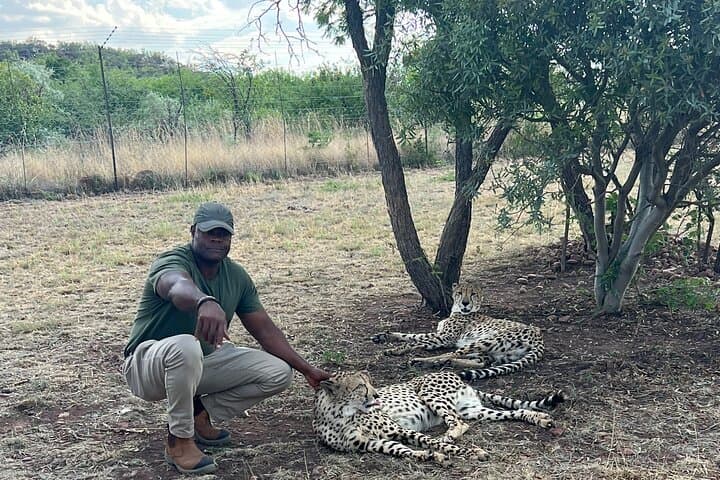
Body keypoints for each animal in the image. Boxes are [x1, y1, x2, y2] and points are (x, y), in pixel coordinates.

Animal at [313, 370, 565, 464]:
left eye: (369, 383)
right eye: (360, 386)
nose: (376, 395)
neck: (343, 415)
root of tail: (455, 374)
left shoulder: (398, 429)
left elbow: (429, 441)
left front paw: (469, 453)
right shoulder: (371, 443)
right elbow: (400, 450)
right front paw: (425, 455)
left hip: (429, 392)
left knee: (458, 424)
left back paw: (447, 437)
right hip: (473, 410)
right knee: (510, 413)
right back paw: (540, 418)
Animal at [372, 281, 544, 381]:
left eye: (473, 294)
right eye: (460, 293)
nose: (465, 303)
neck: (457, 310)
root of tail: (539, 336)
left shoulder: (445, 338)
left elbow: (415, 341)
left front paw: (395, 349)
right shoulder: (439, 334)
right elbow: (410, 336)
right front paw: (383, 335)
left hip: (486, 340)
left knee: (451, 354)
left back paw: (423, 361)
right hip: (494, 352)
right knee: (481, 362)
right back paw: (449, 363)